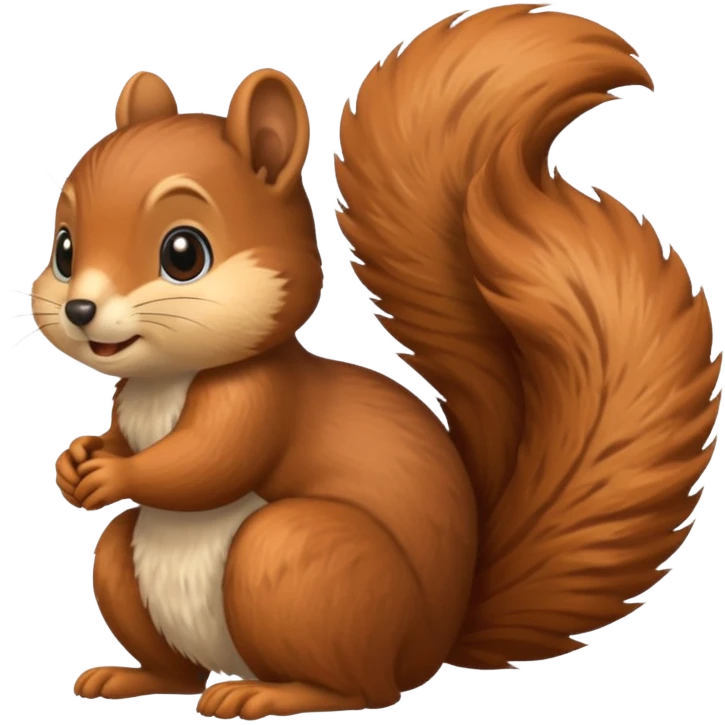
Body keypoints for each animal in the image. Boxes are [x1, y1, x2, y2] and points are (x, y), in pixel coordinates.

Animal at [34, 5, 720, 721]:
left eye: (184, 253)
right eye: (64, 248)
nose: (79, 310)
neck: (166, 381)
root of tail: (435, 642)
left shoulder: (261, 399)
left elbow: (206, 463)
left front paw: (111, 474)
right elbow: (122, 437)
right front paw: (76, 461)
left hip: (299, 559)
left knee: (364, 688)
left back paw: (272, 693)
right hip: (134, 569)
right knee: (174, 656)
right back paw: (133, 678)